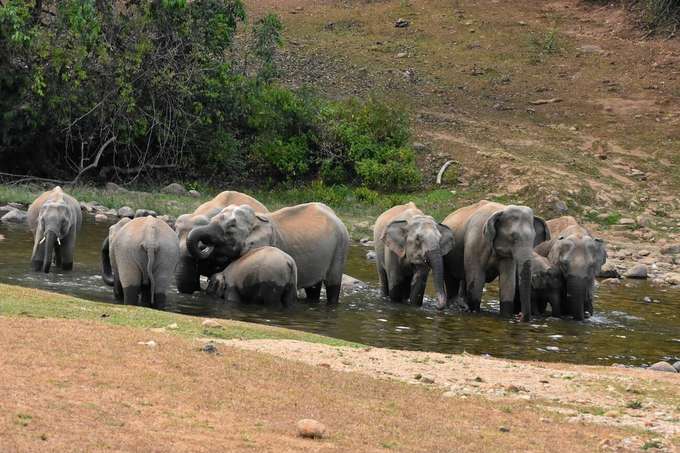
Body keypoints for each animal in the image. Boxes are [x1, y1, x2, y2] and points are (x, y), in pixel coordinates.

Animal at [186, 202, 349, 304]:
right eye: (213, 218)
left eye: (231, 227)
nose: (205, 245)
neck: (258, 218)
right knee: (313, 289)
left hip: (340, 247)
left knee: (333, 285)